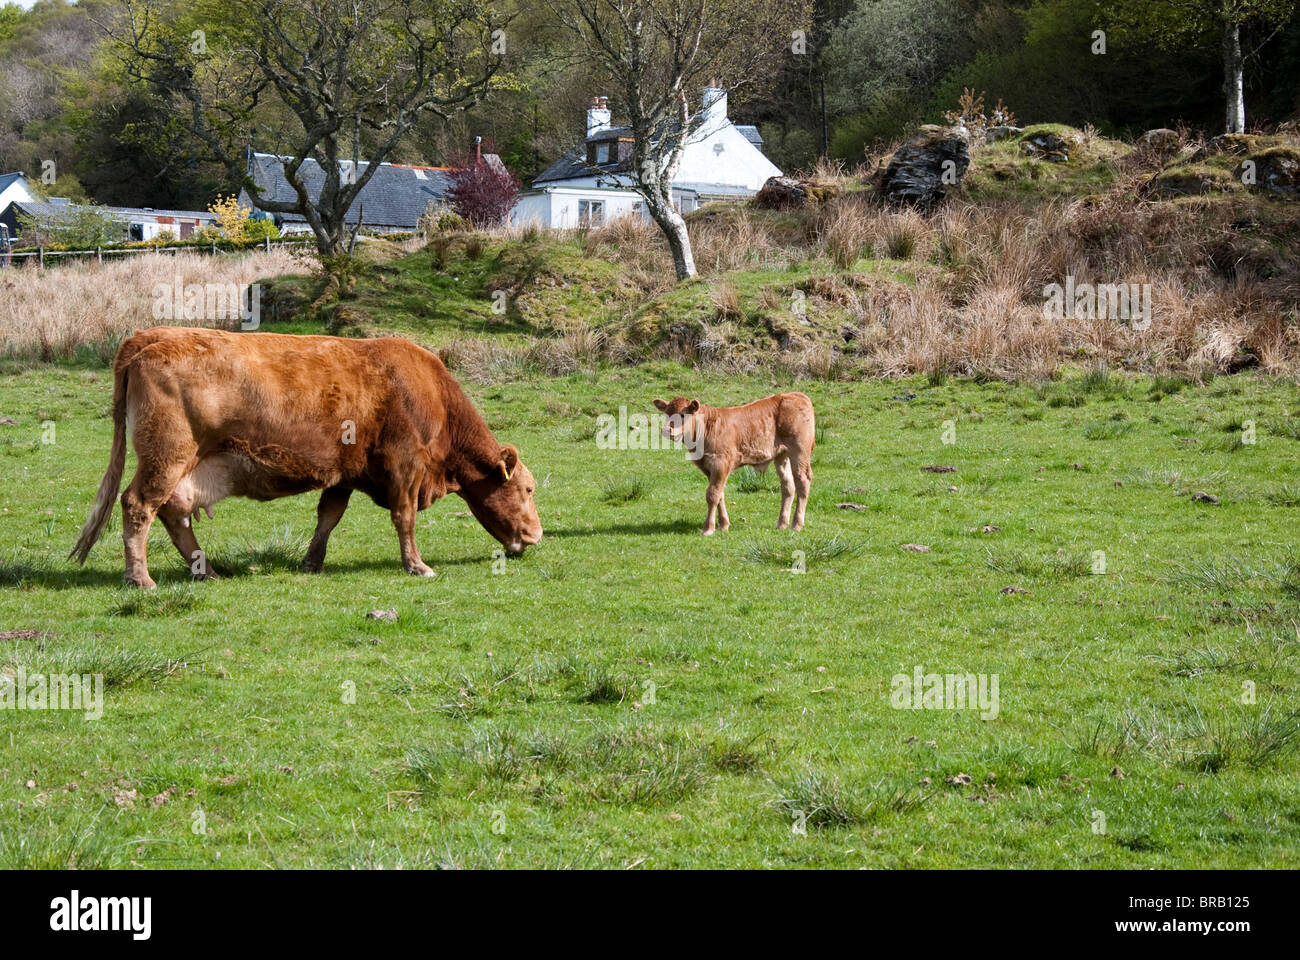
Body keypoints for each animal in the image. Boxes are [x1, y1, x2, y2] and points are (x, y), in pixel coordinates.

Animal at [72, 327, 538, 582]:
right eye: (529, 490)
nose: (536, 535)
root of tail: (148, 336)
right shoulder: (406, 468)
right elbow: (403, 519)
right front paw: (417, 565)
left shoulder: (346, 474)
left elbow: (328, 517)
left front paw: (312, 562)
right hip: (166, 457)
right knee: (138, 506)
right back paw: (141, 579)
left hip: (181, 467)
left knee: (173, 515)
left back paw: (207, 571)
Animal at [650, 392, 811, 535]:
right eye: (666, 414)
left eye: (683, 414)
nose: (666, 430)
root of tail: (796, 395)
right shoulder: (709, 468)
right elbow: (719, 494)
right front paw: (723, 525)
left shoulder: (720, 463)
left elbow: (712, 494)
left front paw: (708, 528)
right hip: (781, 455)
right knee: (788, 486)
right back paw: (782, 524)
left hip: (799, 452)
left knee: (802, 482)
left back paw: (797, 524)